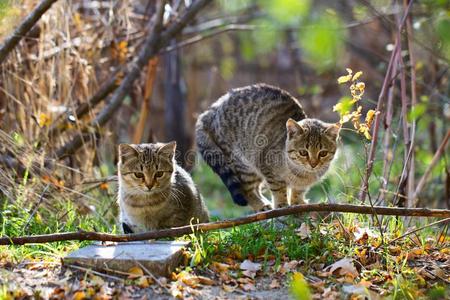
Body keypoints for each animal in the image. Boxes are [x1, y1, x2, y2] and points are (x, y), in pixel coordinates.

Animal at [195, 84, 340, 211]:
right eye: (303, 152)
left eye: (323, 153)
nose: (313, 164)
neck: (302, 174)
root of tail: (214, 107)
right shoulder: (268, 169)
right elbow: (278, 189)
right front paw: (281, 204)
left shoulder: (301, 185)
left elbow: (298, 191)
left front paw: (297, 202)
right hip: (244, 163)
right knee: (247, 190)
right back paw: (261, 205)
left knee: (256, 188)